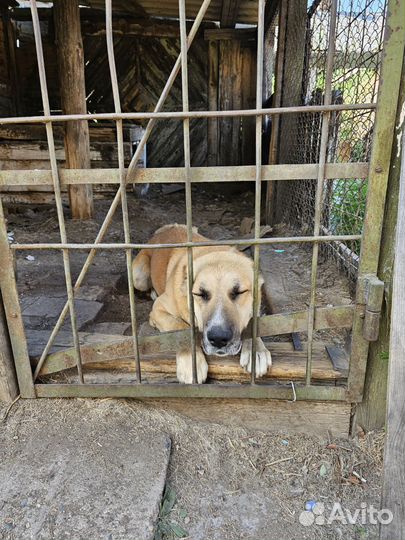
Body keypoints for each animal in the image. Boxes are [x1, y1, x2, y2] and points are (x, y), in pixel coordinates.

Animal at [133, 224, 272, 384]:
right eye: (200, 294)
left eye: (239, 292)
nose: (218, 339)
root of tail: (166, 229)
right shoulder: (158, 310)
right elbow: (180, 327)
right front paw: (190, 360)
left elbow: (254, 321)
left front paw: (256, 350)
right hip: (138, 277)